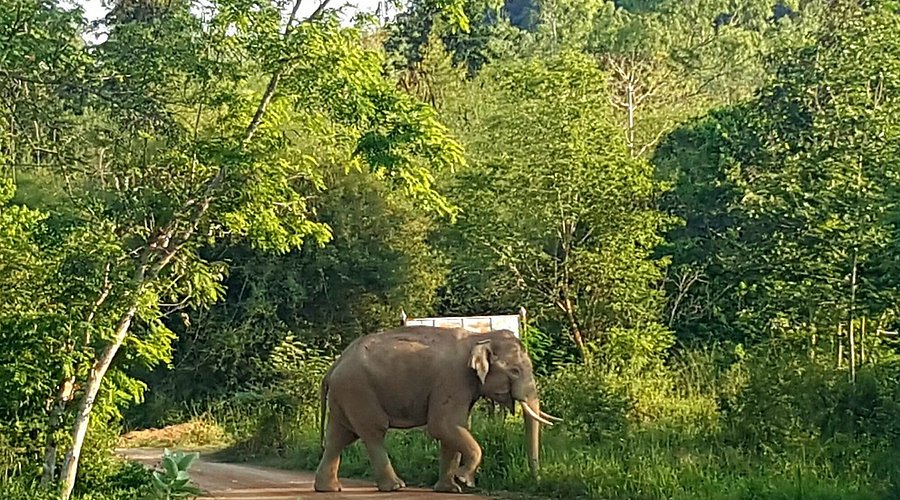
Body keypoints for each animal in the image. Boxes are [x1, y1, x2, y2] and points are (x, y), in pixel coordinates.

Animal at [313, 325, 561, 494]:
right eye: (516, 371)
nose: (537, 482)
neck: (479, 338)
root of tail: (334, 365)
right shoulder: (453, 379)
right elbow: (443, 425)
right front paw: (464, 480)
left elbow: (455, 428)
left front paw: (450, 488)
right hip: (359, 391)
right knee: (373, 433)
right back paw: (395, 487)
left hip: (345, 396)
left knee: (339, 437)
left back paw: (329, 489)